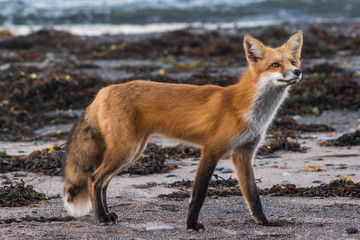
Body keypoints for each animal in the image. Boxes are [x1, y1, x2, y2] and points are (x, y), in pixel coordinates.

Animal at [63, 30, 302, 231]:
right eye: (275, 64)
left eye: (292, 62)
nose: (298, 71)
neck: (247, 108)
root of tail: (104, 90)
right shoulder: (212, 149)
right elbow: (199, 194)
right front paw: (192, 225)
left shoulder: (243, 154)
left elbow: (253, 196)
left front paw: (264, 222)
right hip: (126, 150)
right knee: (94, 179)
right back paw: (101, 218)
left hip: (132, 152)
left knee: (102, 183)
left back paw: (106, 214)